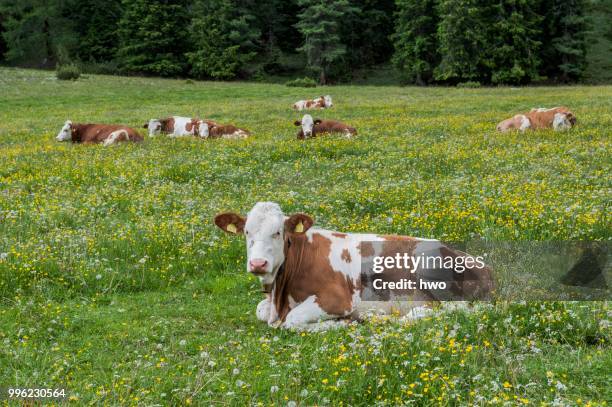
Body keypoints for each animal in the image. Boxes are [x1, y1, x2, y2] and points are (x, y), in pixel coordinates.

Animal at [214, 202, 492, 332]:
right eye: (247, 232)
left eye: (278, 232)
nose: (258, 263)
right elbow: (259, 311)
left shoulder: (337, 299)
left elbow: (292, 321)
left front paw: (341, 324)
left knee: (453, 309)